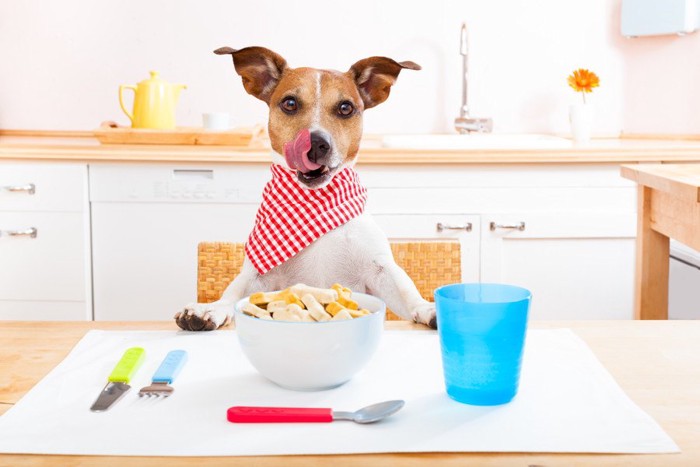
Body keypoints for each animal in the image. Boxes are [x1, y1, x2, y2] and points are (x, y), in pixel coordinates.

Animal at [175, 45, 438, 332]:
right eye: (290, 103)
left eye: (346, 108)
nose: (316, 144)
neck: (315, 202)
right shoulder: (258, 276)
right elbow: (233, 293)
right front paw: (210, 308)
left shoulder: (380, 269)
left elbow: (406, 291)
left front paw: (428, 308)